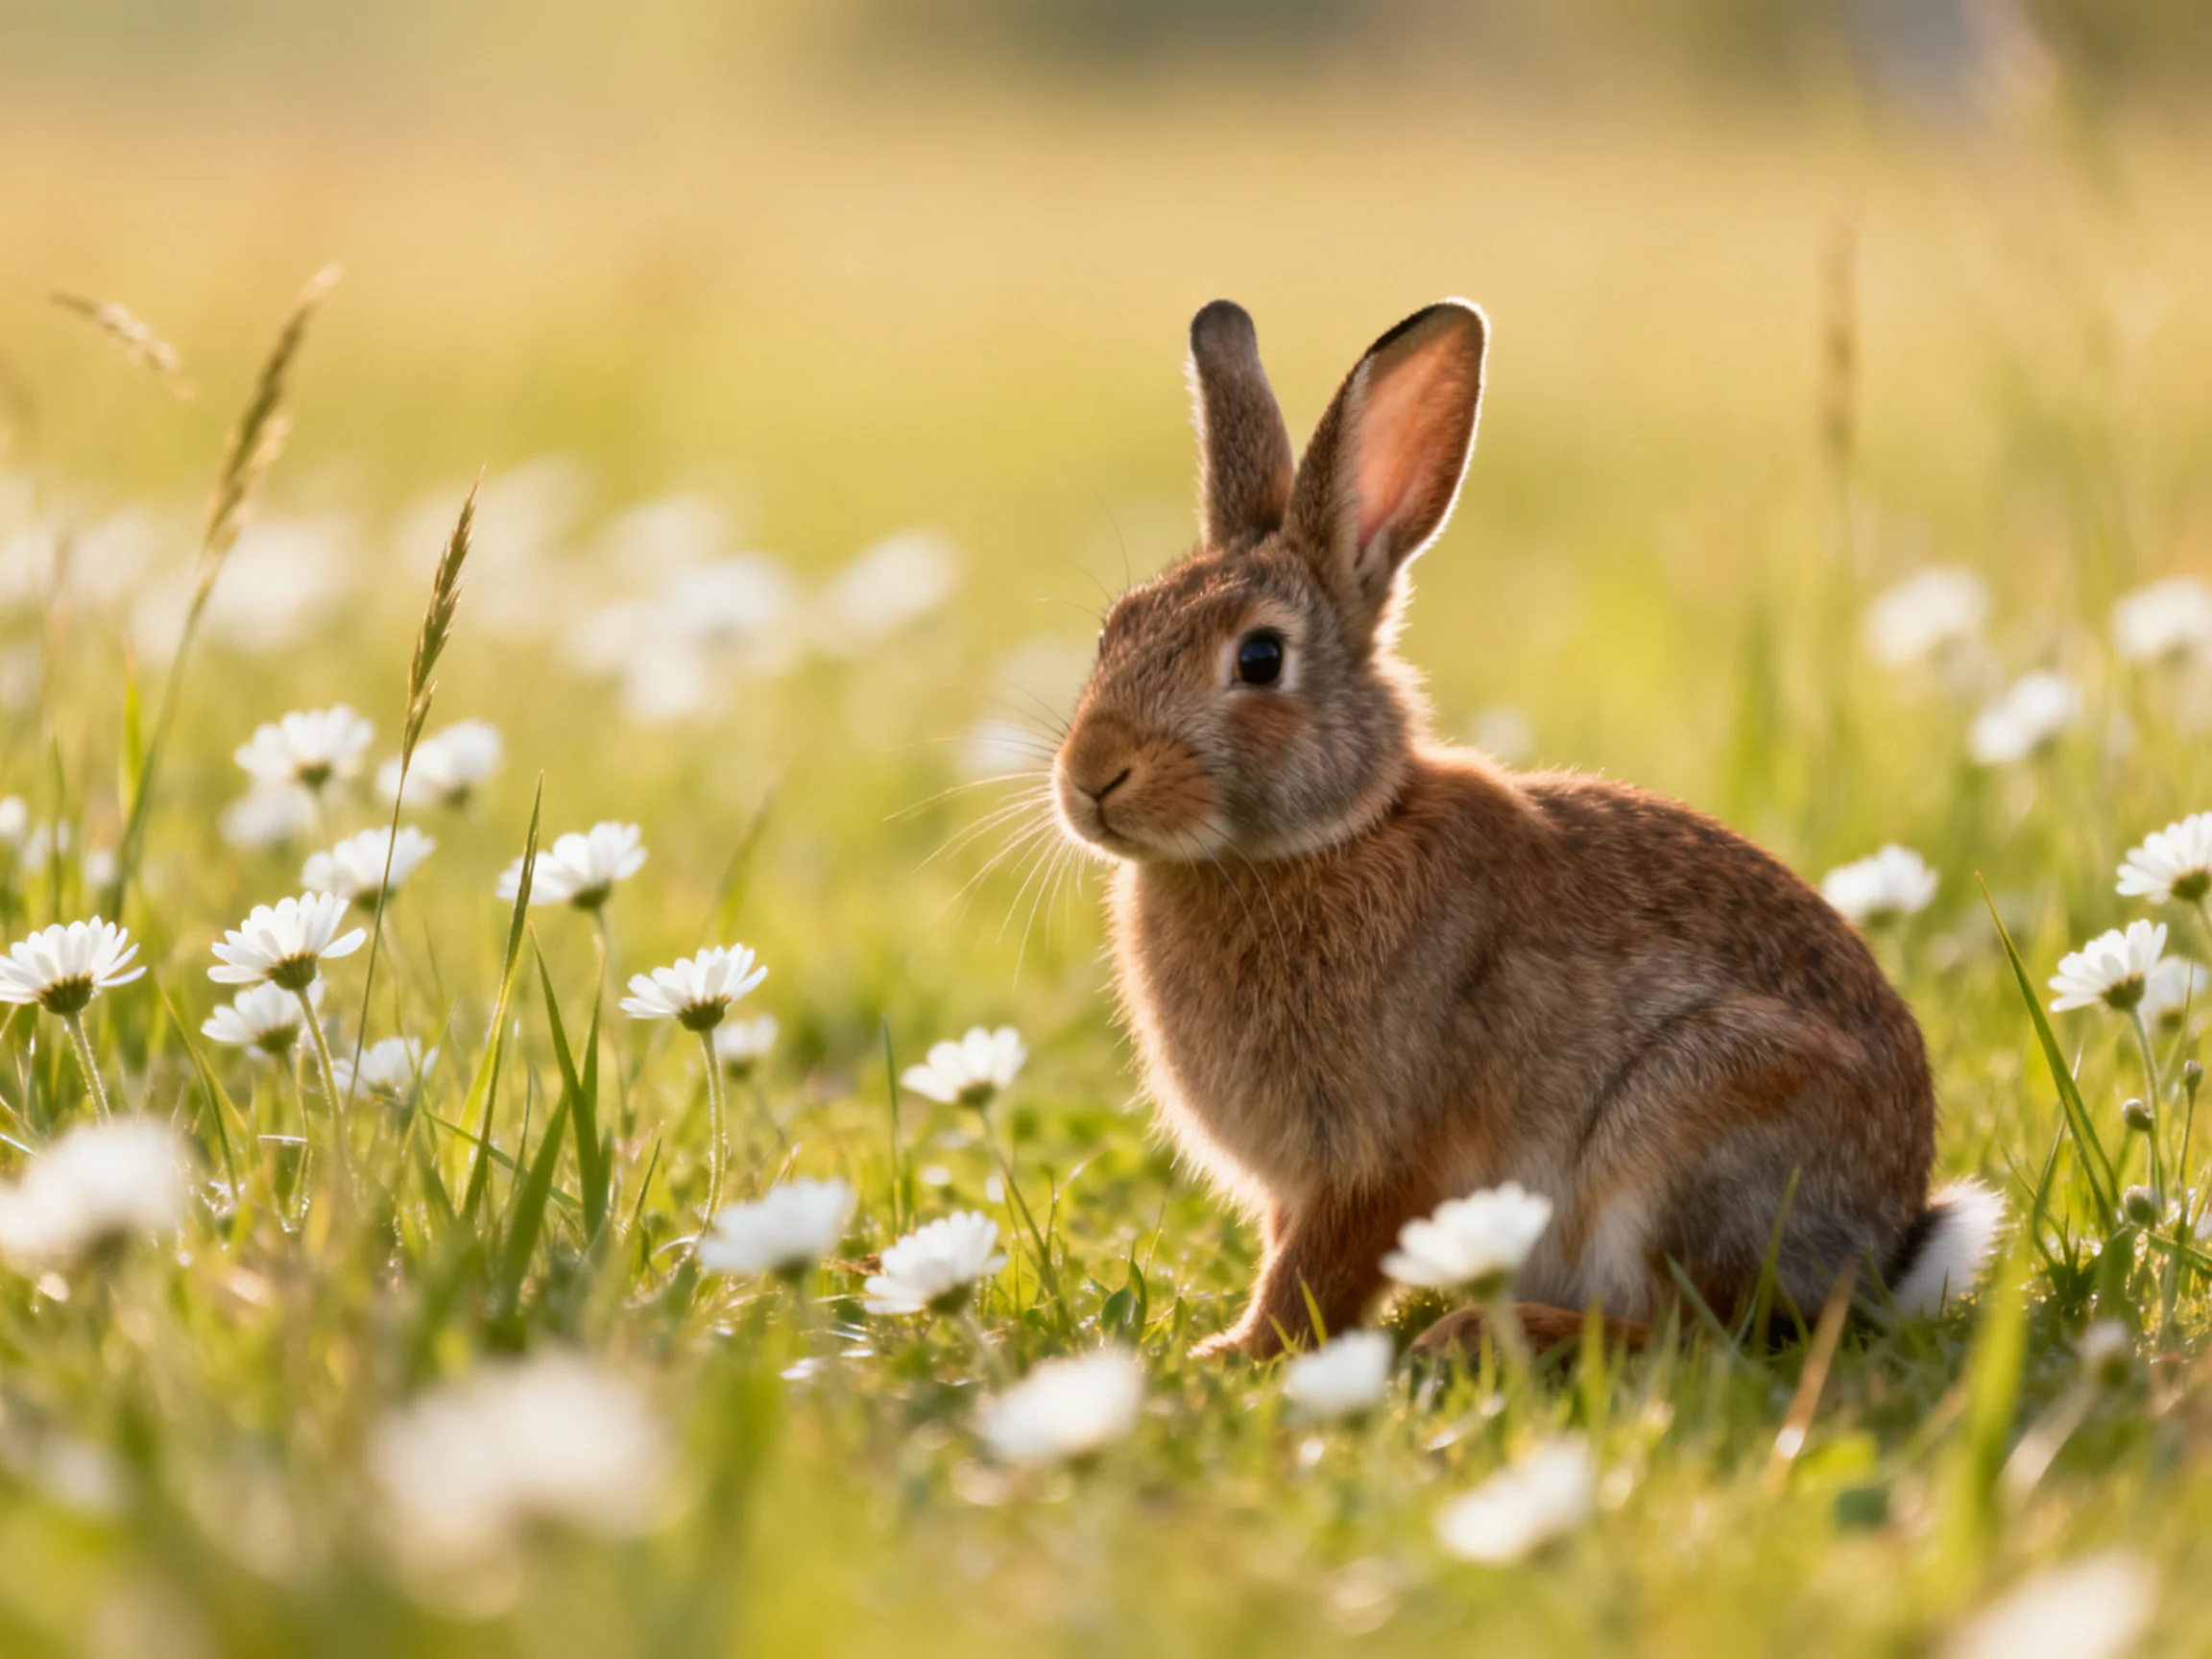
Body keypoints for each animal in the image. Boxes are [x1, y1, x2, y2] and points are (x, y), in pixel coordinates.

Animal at [1049, 297, 2001, 1359]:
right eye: (1114, 630)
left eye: (1259, 659)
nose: (1091, 777)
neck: (1323, 839)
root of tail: (1883, 1248)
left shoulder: (1383, 1158)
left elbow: (1317, 1272)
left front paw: (1240, 1357)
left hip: (1687, 1129)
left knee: (1698, 1333)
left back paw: (1482, 1335)